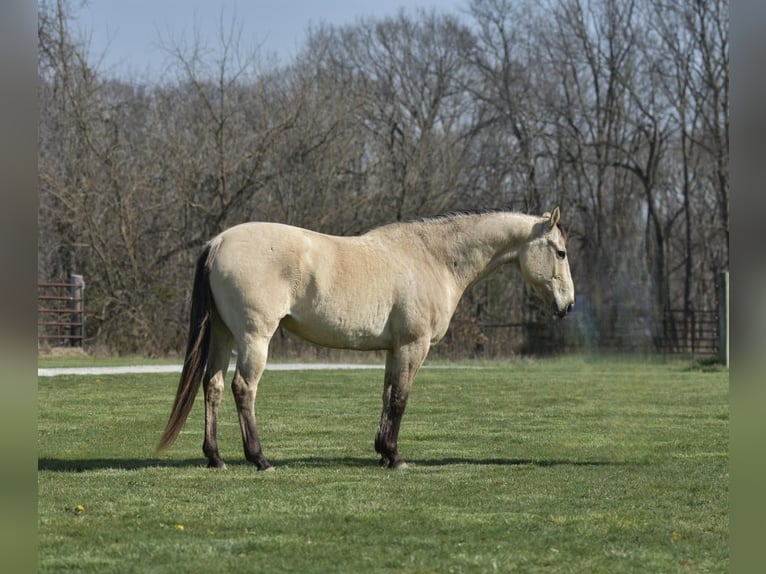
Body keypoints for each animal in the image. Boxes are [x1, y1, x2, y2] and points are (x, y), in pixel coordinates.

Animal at [158, 209, 576, 470]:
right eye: (560, 252)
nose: (568, 305)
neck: (434, 258)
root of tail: (218, 242)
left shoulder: (395, 349)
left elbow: (388, 396)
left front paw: (382, 452)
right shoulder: (413, 345)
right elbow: (401, 399)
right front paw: (395, 457)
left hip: (222, 334)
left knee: (212, 386)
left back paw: (216, 458)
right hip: (253, 336)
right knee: (243, 389)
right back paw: (259, 458)